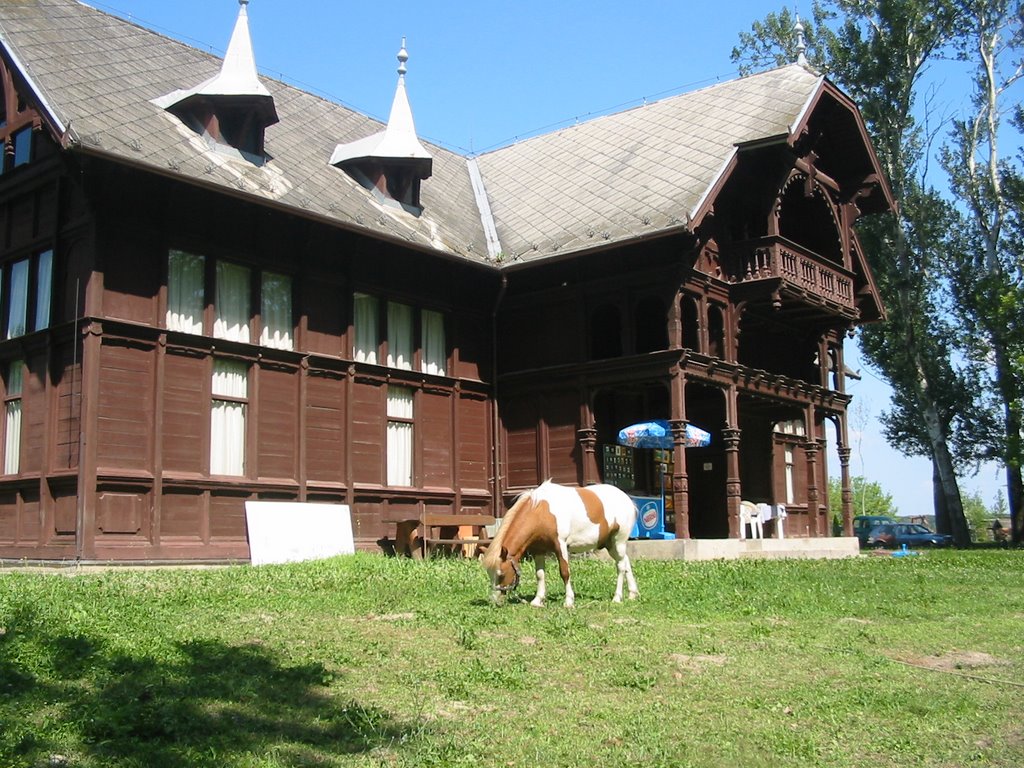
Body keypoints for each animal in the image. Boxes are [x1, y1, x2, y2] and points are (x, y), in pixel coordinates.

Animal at [481, 481, 638, 606]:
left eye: (501, 575)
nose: (494, 600)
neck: (541, 511)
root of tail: (627, 499)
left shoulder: (560, 546)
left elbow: (565, 572)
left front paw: (568, 601)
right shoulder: (538, 549)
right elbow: (540, 574)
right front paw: (537, 600)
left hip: (618, 541)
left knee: (620, 567)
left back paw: (617, 598)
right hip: (610, 544)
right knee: (626, 562)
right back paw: (632, 594)